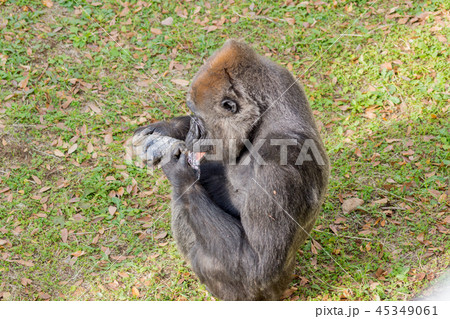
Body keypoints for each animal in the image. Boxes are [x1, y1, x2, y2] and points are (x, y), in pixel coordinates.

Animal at [132, 39, 328, 300]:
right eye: (193, 117)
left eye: (199, 119)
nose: (192, 134)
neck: (263, 120)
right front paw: (166, 127)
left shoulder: (279, 168)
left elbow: (256, 265)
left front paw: (177, 170)